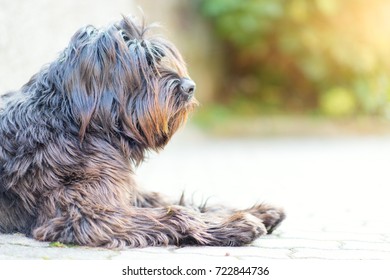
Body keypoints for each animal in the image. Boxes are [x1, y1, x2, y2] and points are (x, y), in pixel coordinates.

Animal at [0, 16, 286, 247]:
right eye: (144, 65)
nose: (190, 86)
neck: (70, 120)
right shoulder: (85, 214)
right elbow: (177, 212)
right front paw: (236, 224)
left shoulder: (128, 190)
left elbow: (172, 199)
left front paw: (254, 211)